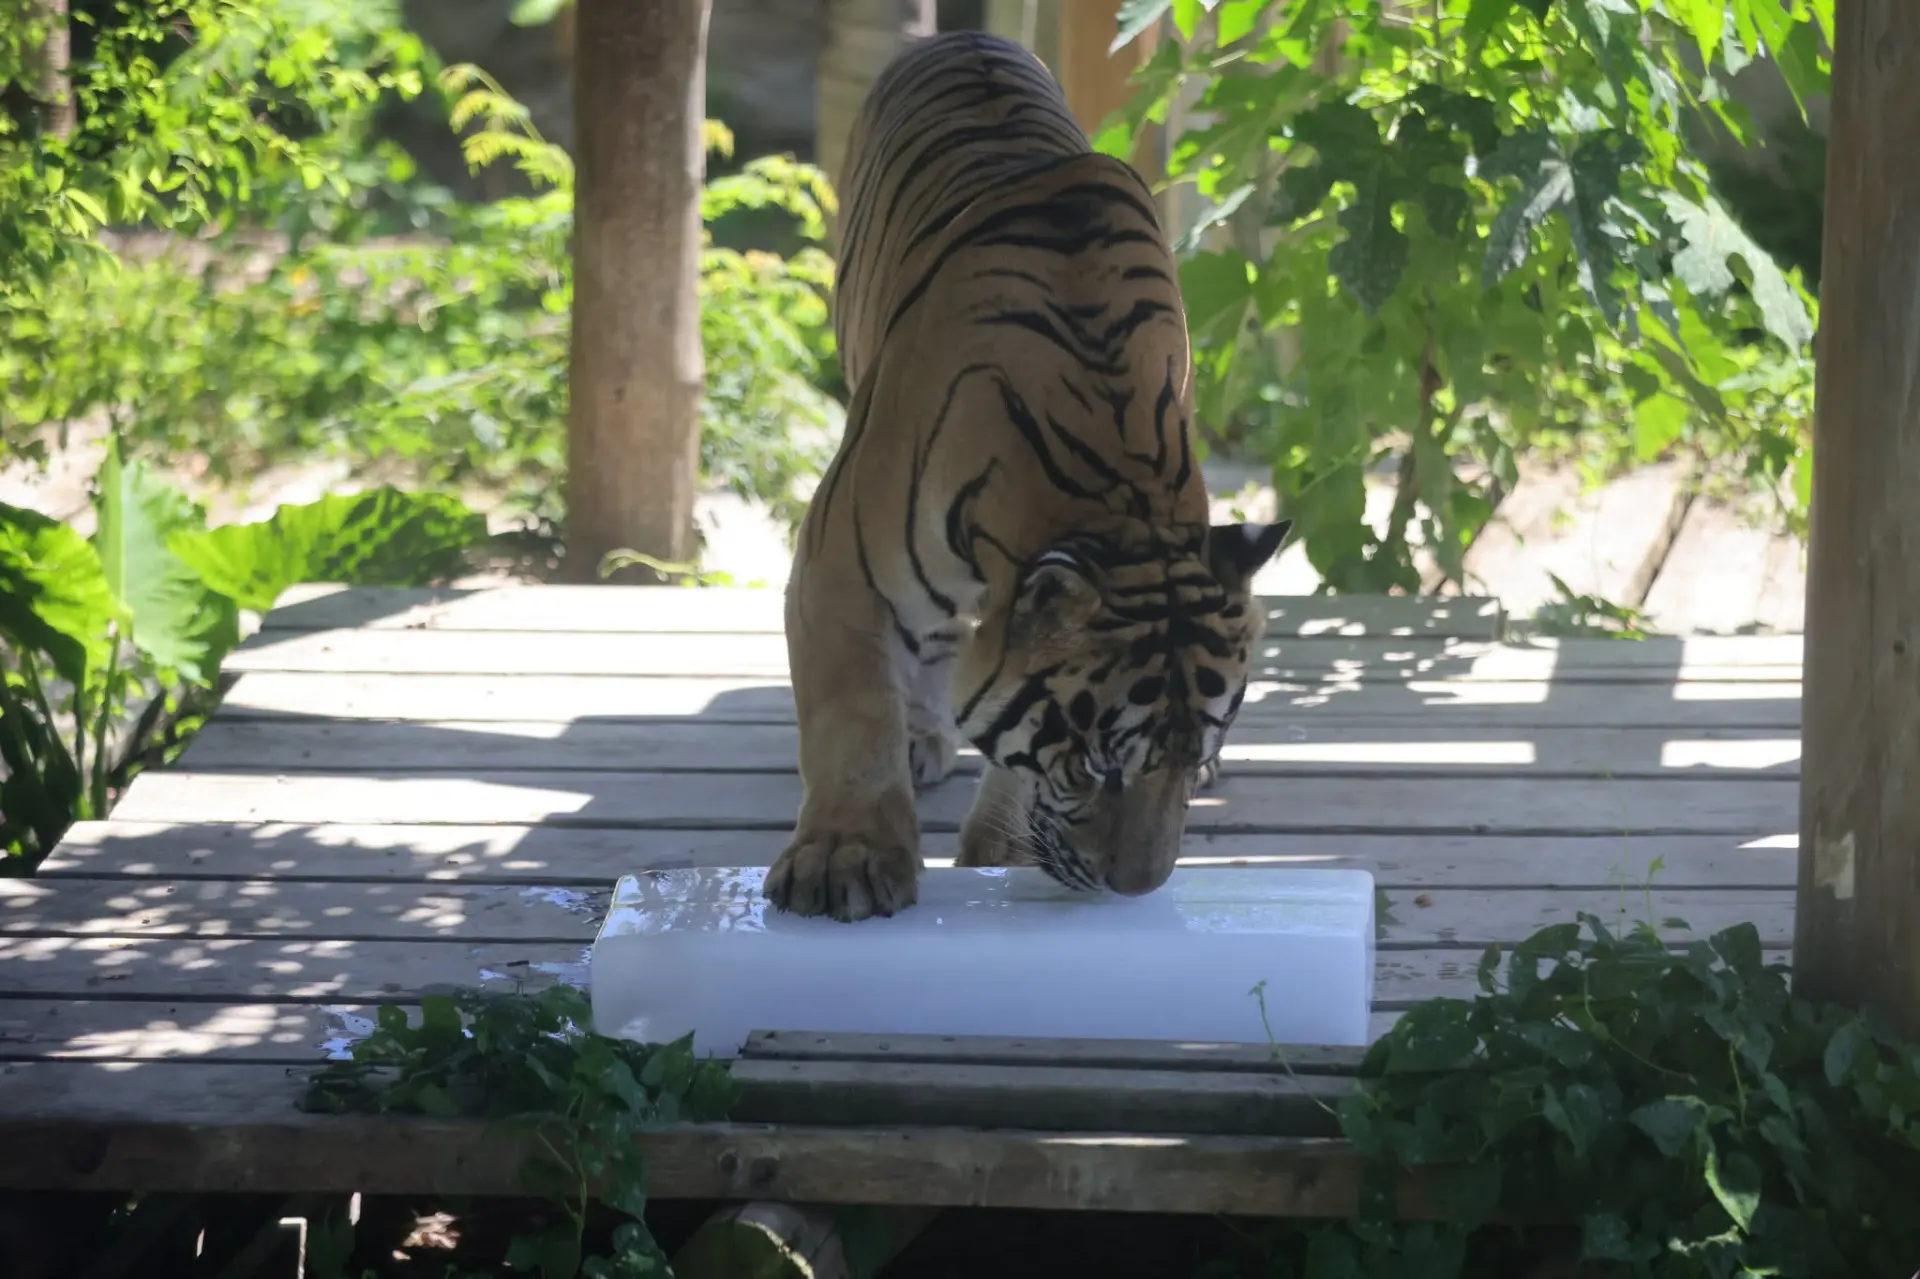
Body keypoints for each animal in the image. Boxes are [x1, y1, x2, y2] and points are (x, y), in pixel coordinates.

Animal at [766, 29, 1291, 922]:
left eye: (1188, 761)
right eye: (1096, 767)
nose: (1137, 887)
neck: (1118, 490)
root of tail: (963, 33)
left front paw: (1002, 847)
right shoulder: (841, 567)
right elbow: (853, 718)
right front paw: (846, 859)